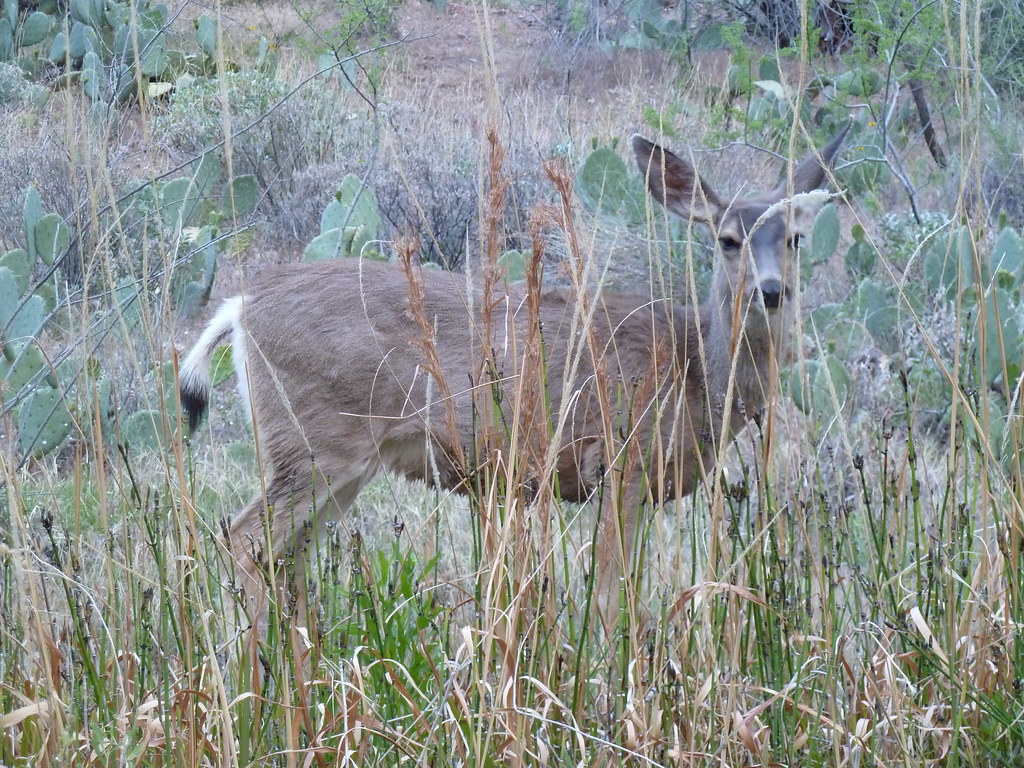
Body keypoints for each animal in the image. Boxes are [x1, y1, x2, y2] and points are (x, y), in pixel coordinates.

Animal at [179, 127, 848, 631]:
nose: (770, 292)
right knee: (243, 540)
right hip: (315, 442)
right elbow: (610, 597)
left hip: (335, 462)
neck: (695, 373)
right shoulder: (620, 459)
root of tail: (240, 307)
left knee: (283, 559)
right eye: (728, 239)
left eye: (795, 237)